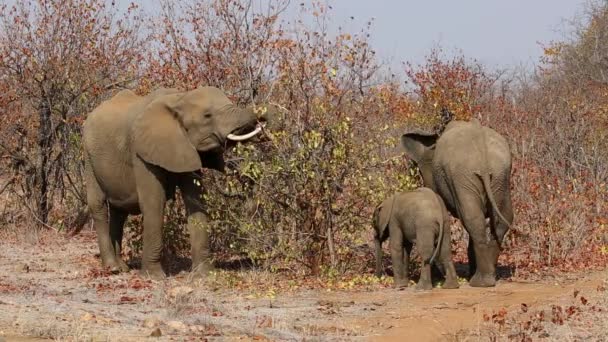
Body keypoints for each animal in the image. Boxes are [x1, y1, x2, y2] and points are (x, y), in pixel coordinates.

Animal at [83, 85, 276, 278]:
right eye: (207, 116)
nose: (262, 124)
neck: (179, 99)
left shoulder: (186, 146)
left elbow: (196, 200)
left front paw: (203, 274)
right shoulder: (141, 151)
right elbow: (154, 203)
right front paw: (153, 277)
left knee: (119, 211)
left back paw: (122, 267)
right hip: (89, 158)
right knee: (99, 206)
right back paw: (112, 267)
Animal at [402, 119, 516, 288]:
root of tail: (483, 154)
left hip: (464, 175)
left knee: (472, 218)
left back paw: (480, 282)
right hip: (500, 175)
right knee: (501, 217)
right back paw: (487, 278)